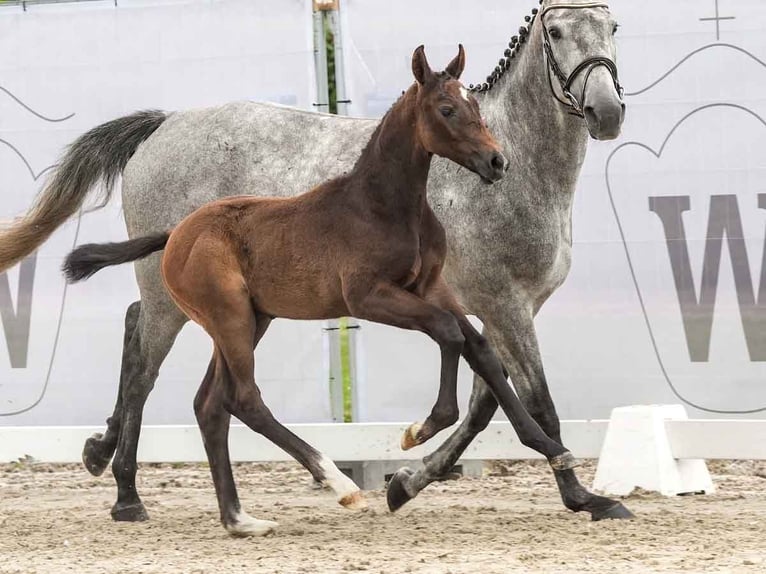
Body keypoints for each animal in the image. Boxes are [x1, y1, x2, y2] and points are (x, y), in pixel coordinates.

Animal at [0, 0, 632, 528]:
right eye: (556, 31)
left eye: (612, 27)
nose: (607, 112)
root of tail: (163, 125)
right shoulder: (502, 303)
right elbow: (536, 402)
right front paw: (586, 496)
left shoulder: (502, 306)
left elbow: (486, 398)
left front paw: (407, 479)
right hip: (179, 298)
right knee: (145, 362)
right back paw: (128, 493)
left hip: (227, 309)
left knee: (159, 355)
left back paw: (108, 459)